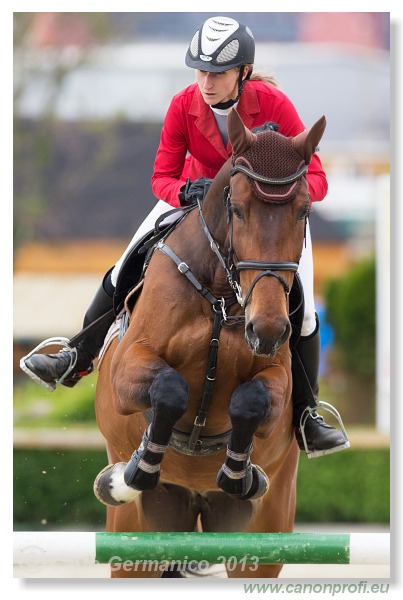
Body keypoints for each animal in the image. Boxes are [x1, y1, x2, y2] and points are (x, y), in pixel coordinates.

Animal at [93, 110, 326, 580]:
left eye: (303, 211)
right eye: (236, 209)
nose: (267, 330)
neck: (220, 291)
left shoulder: (277, 381)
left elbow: (251, 400)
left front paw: (241, 473)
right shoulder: (128, 368)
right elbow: (169, 389)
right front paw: (138, 467)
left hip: (263, 536)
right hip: (135, 538)